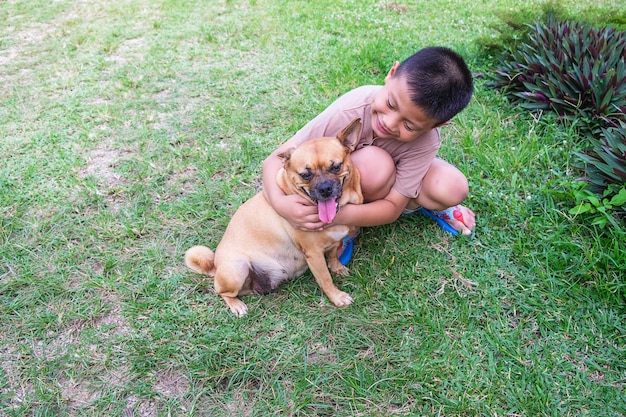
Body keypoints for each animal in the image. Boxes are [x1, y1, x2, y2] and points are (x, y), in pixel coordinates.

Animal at [183, 118, 364, 316]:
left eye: (336, 167)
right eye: (305, 175)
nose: (325, 189)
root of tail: (215, 267)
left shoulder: (332, 243)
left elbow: (332, 256)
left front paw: (337, 267)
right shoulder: (314, 254)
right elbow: (325, 279)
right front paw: (337, 297)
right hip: (237, 269)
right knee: (223, 292)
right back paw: (237, 306)